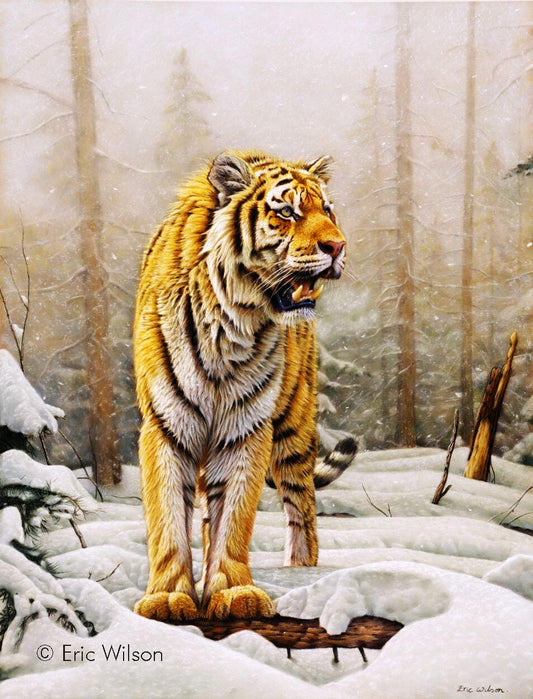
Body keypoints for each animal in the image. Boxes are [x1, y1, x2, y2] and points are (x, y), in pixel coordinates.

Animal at [133, 151, 351, 622]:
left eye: (327, 210)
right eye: (286, 212)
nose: (337, 246)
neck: (233, 324)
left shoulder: (245, 428)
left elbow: (233, 515)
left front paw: (235, 593)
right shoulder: (166, 425)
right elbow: (168, 516)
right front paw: (167, 598)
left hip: (294, 429)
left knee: (302, 509)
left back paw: (302, 570)